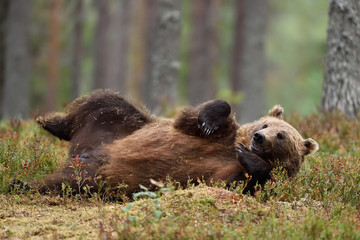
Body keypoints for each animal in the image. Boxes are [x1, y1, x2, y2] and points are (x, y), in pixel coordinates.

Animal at [31, 89, 318, 196]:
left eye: (281, 136)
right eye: (265, 125)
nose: (258, 137)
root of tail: (80, 153)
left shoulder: (225, 171)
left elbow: (237, 183)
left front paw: (250, 159)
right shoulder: (213, 135)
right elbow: (197, 117)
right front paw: (209, 120)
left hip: (99, 176)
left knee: (67, 182)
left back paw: (27, 183)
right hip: (120, 127)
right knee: (102, 103)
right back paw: (48, 122)